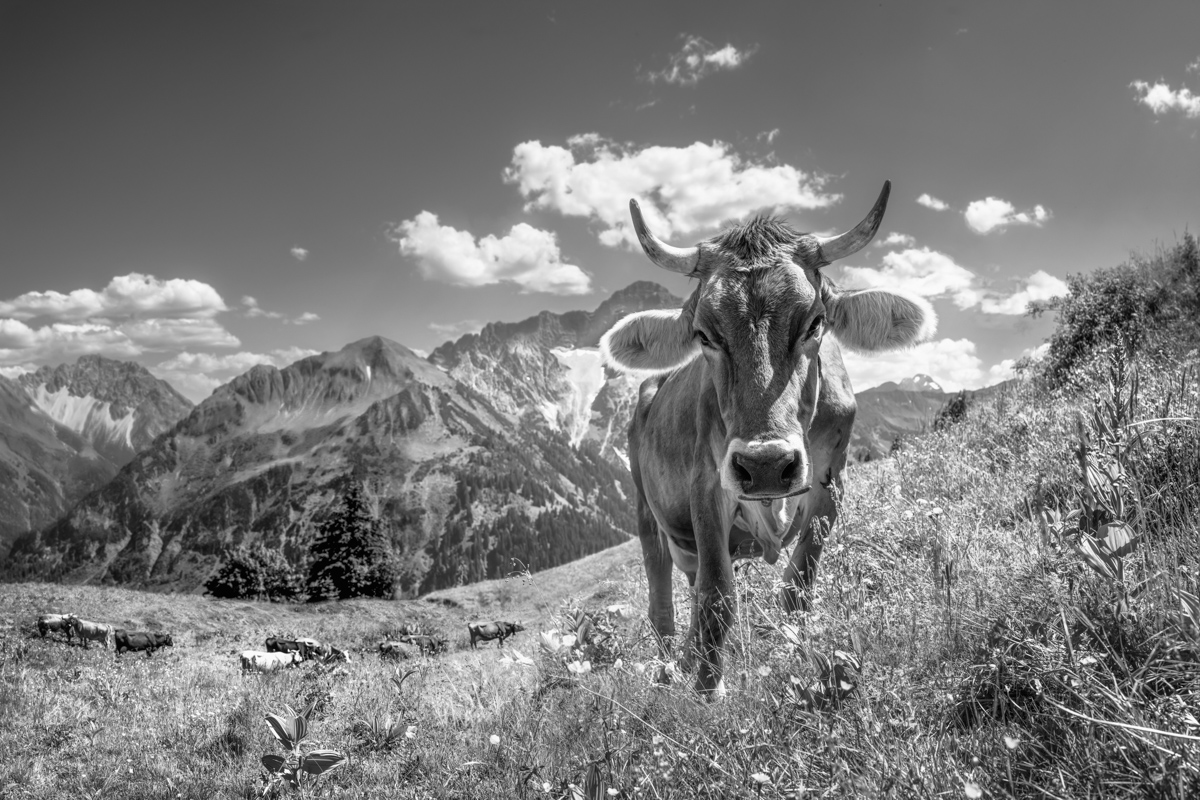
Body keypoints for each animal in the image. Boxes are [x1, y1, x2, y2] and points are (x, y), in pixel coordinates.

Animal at [600, 183, 934, 696]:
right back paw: (671, 671)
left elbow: (798, 586)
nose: (765, 465)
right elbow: (718, 597)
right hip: (645, 513)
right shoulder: (708, 486)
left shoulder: (830, 485)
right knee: (663, 605)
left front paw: (793, 661)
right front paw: (707, 692)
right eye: (704, 334)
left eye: (815, 322)